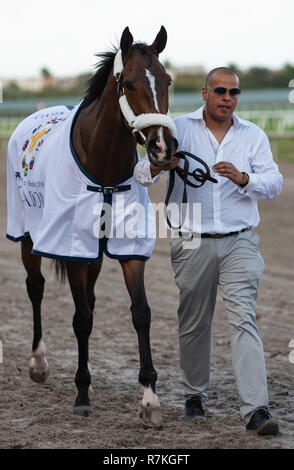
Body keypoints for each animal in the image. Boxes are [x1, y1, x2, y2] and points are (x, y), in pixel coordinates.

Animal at [6, 26, 177, 430]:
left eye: (167, 80)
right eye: (128, 83)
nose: (162, 148)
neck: (104, 172)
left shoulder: (127, 250)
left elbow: (141, 313)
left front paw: (150, 399)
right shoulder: (72, 249)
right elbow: (80, 319)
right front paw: (82, 395)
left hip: (94, 256)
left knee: (92, 300)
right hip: (28, 236)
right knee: (35, 288)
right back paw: (39, 363)